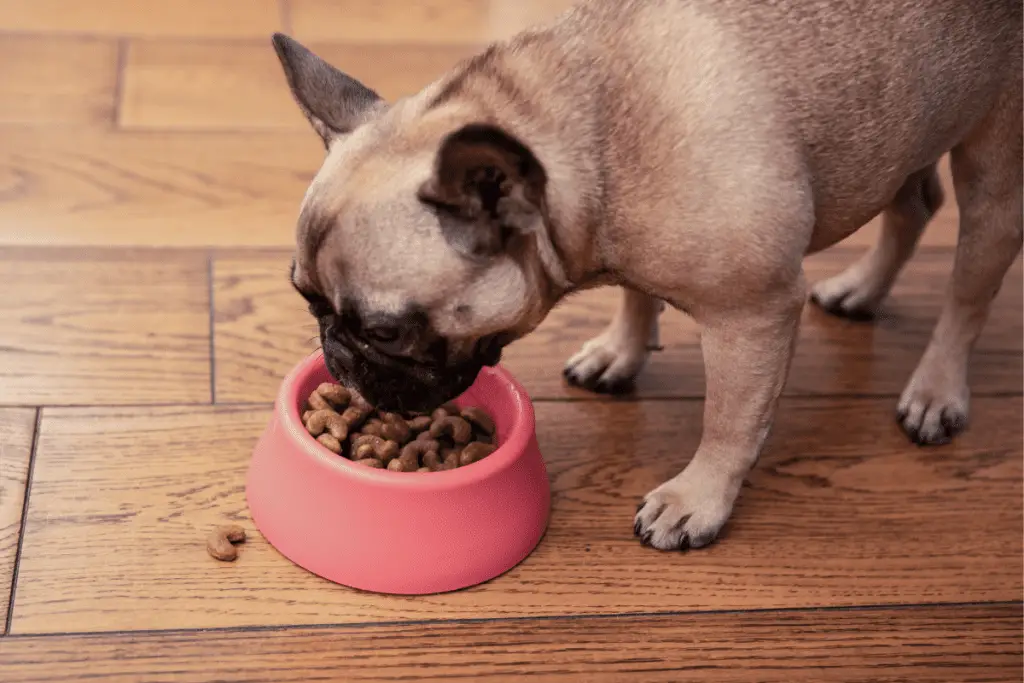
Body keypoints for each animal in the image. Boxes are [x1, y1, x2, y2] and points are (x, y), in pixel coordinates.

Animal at [270, 0, 1015, 552]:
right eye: (307, 299)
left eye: (385, 331)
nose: (336, 351)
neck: (588, 140)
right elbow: (636, 295)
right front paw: (620, 351)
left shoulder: (756, 314)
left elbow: (732, 420)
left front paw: (698, 498)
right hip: (910, 124)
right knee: (916, 203)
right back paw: (862, 288)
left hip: (994, 163)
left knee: (969, 293)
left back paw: (935, 390)